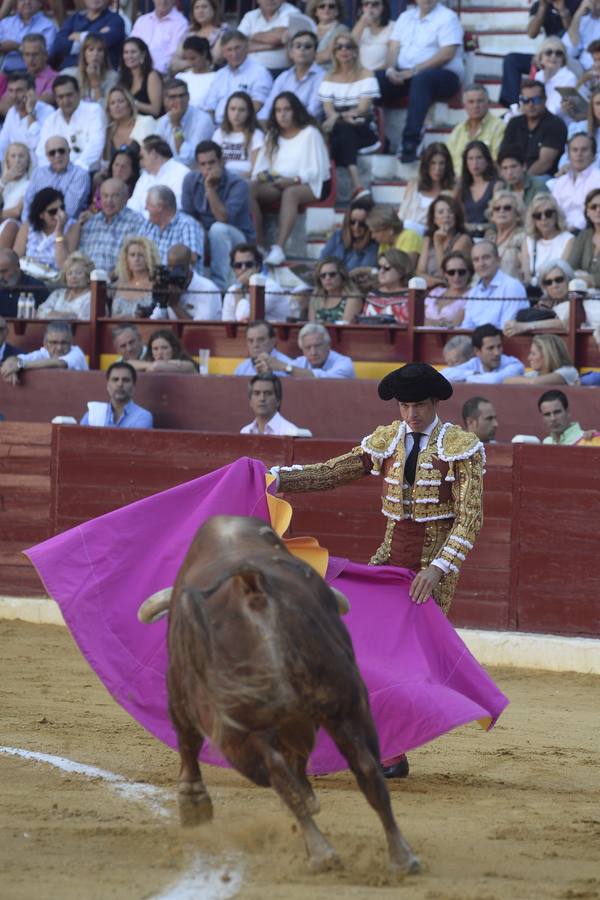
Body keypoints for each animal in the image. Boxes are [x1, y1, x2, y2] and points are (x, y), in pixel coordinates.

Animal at [139, 516, 422, 876]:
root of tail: (251, 587)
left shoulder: (180, 688)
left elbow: (187, 741)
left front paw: (193, 805)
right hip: (346, 702)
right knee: (367, 769)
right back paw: (402, 857)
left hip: (242, 728)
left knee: (277, 773)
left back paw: (321, 853)